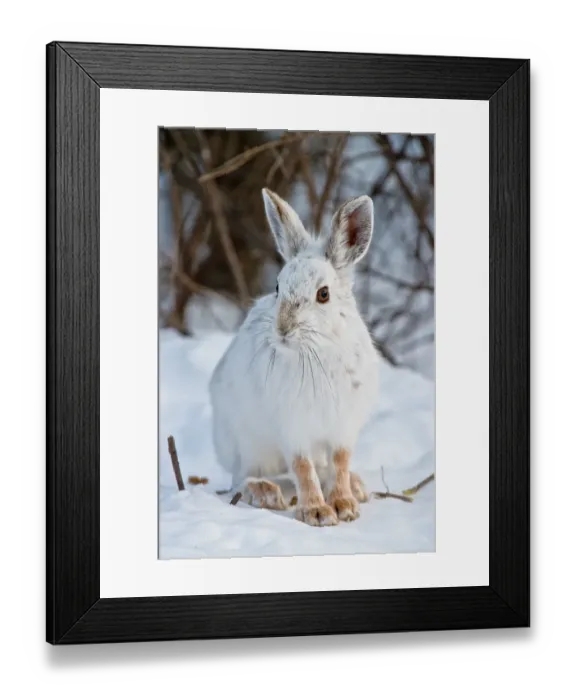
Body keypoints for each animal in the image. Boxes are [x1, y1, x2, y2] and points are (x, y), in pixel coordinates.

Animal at [208, 188, 381, 526]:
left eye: (323, 294)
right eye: (277, 287)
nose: (282, 329)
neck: (320, 349)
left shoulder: (343, 427)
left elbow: (340, 461)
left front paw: (345, 505)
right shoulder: (293, 425)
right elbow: (302, 467)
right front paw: (317, 512)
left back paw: (357, 486)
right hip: (248, 445)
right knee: (241, 479)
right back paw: (264, 492)